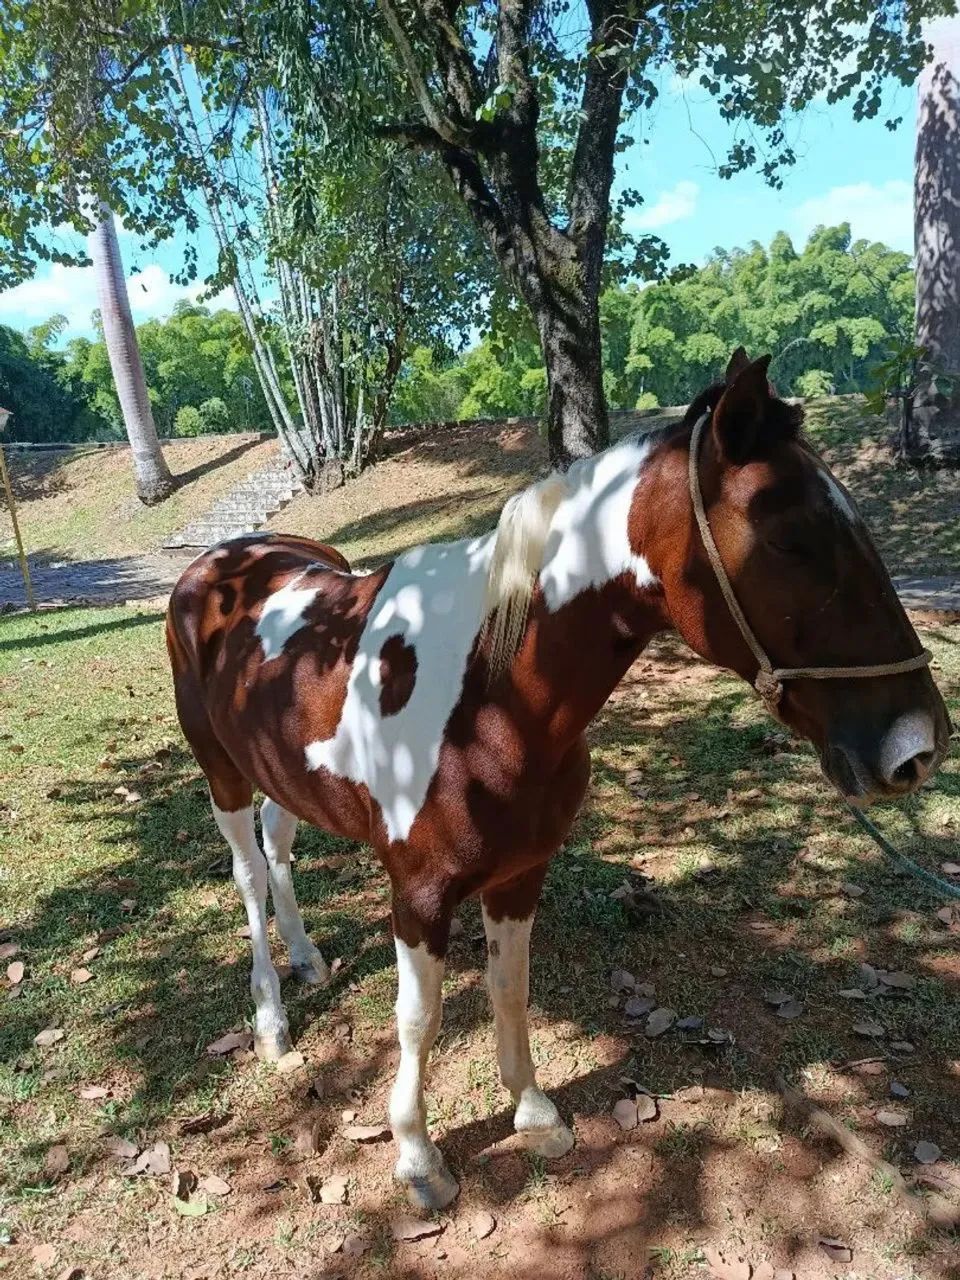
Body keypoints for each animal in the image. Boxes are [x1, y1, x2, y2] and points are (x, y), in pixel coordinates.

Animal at [166, 349, 949, 1209]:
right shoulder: (419, 894)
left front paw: (534, 1111)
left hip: (281, 774)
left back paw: (306, 959)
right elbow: (419, 1018)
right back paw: (272, 1019)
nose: (917, 743)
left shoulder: (520, 873)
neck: (492, 696)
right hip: (223, 775)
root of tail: (221, 562)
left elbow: (509, 986)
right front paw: (417, 1154)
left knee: (279, 852)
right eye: (787, 536)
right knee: (248, 874)